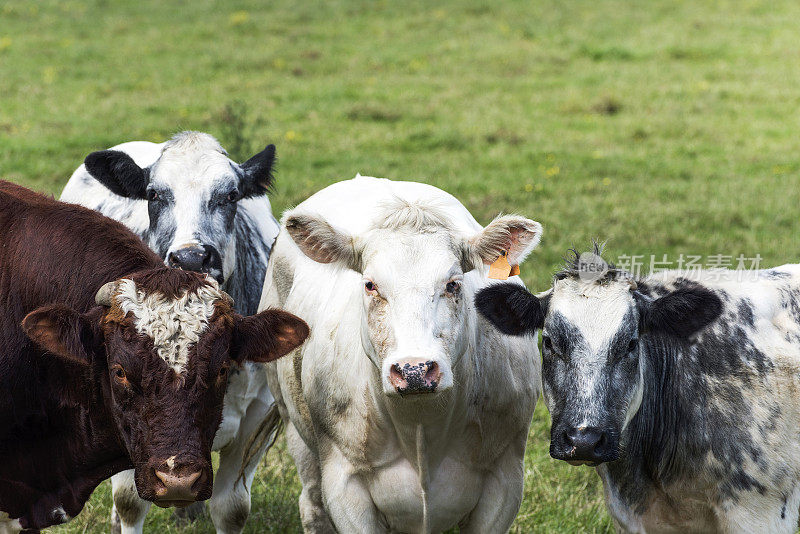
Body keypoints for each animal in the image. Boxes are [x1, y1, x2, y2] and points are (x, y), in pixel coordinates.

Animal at [60, 133, 278, 534]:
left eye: (231, 195)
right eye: (154, 194)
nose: (191, 258)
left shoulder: (258, 417)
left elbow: (232, 507)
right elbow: (131, 501)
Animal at [262, 177, 544, 534]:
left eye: (453, 284)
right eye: (370, 284)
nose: (415, 370)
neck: (421, 429)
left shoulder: (505, 479)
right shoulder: (344, 486)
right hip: (294, 425)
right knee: (312, 503)